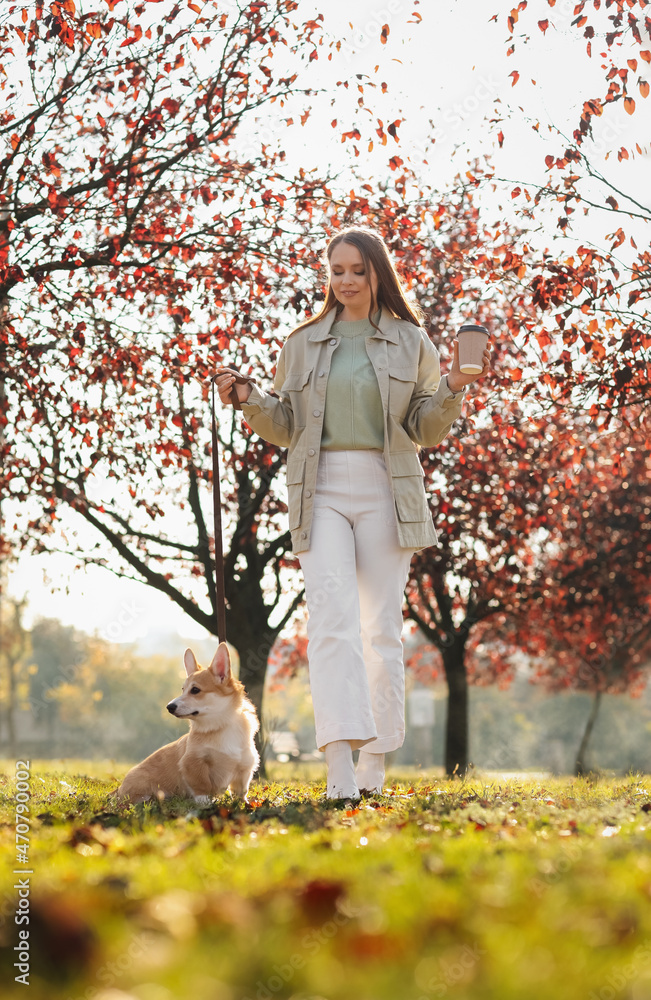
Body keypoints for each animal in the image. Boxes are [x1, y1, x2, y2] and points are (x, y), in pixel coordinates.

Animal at [118, 648, 262, 804]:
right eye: (183, 689)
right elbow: (202, 785)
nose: (169, 707)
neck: (222, 724)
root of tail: (118, 791)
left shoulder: (244, 767)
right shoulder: (193, 763)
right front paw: (206, 803)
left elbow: (241, 791)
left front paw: (244, 804)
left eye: (195, 690)